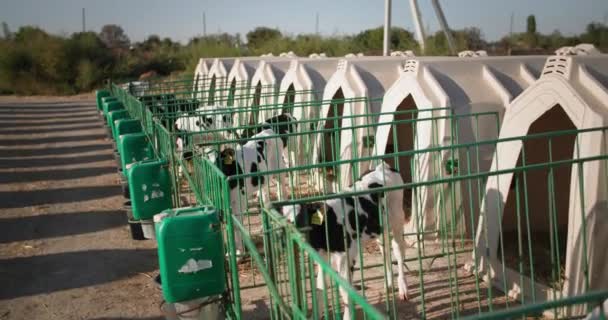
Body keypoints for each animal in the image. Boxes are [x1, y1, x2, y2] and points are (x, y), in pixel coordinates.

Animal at [280, 162, 408, 318]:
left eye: (301, 219)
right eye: (283, 222)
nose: (286, 241)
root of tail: (383, 167)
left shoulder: (346, 257)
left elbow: (345, 291)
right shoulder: (322, 256)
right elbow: (320, 287)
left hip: (397, 219)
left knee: (398, 250)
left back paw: (403, 288)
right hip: (380, 228)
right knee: (385, 249)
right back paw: (388, 285)